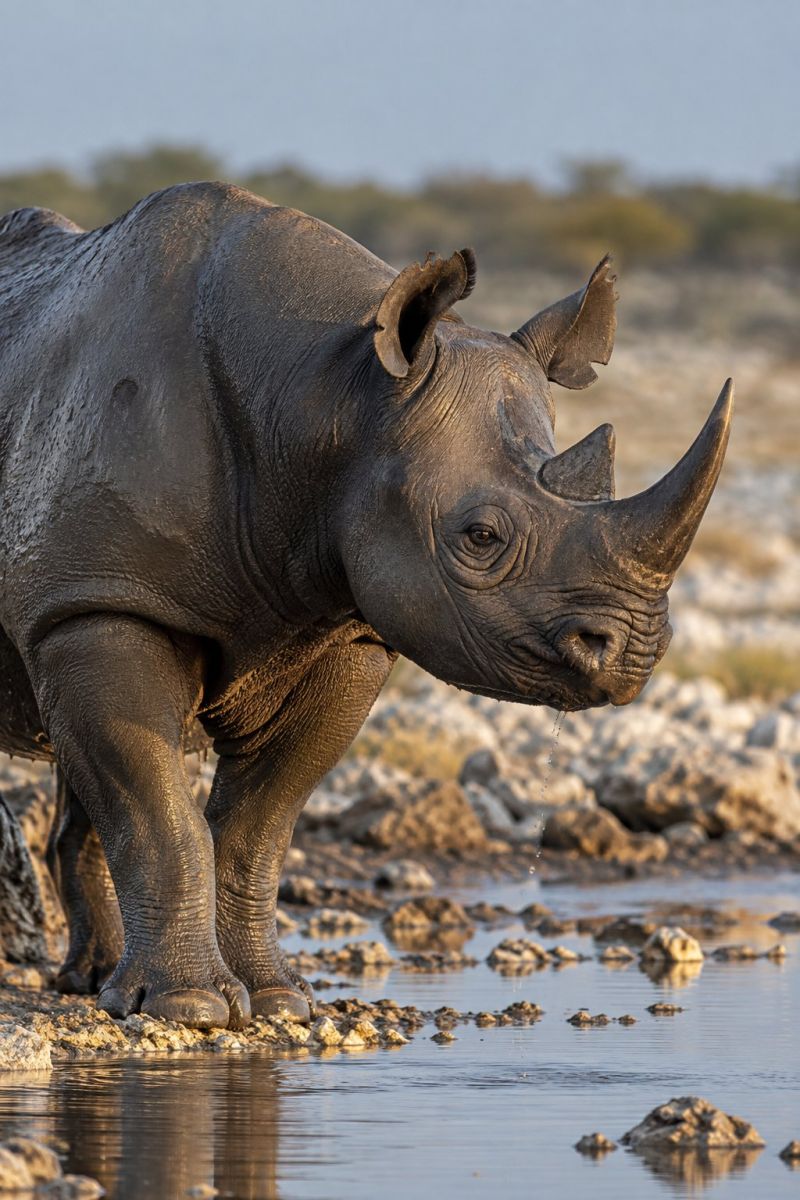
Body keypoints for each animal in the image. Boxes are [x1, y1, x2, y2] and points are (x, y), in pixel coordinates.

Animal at [0, 183, 732, 1029]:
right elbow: (159, 816)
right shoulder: (102, 606)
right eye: (480, 536)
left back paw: (90, 982)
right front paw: (191, 1011)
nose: (637, 653)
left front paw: (278, 1001)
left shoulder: (339, 629)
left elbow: (256, 828)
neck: (325, 396)